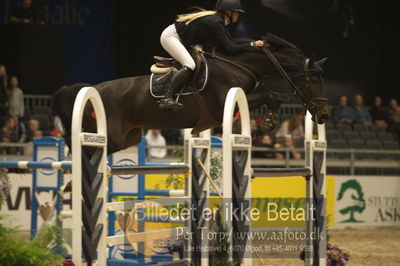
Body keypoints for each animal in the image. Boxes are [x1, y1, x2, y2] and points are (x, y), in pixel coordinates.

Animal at [53, 33, 328, 154]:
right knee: (77, 144)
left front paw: (265, 125)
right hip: (110, 136)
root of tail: (93, 89)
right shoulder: (222, 103)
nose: (324, 115)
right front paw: (265, 125)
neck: (238, 65)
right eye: (313, 79)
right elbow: (272, 96)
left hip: (128, 138)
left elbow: (272, 97)